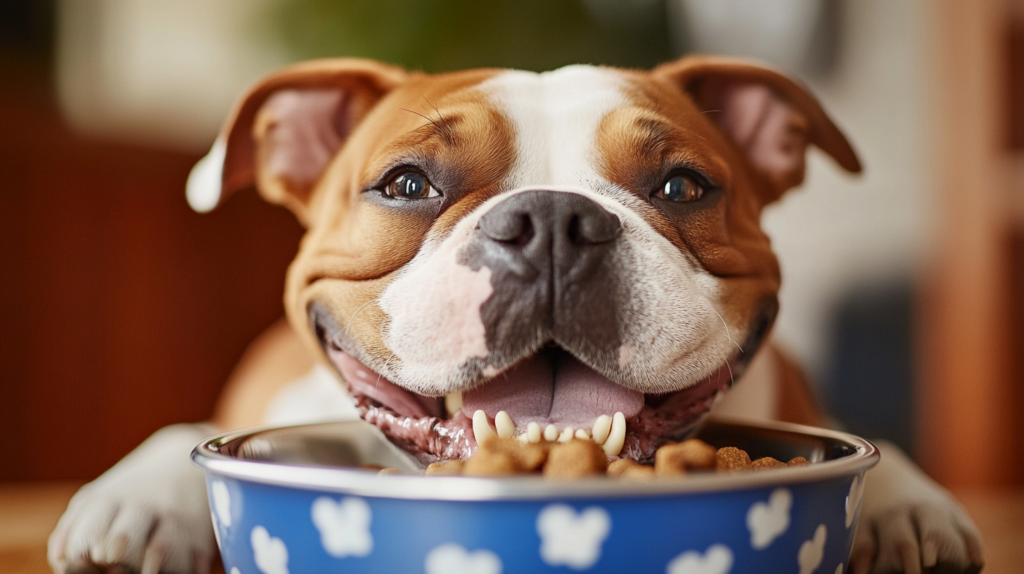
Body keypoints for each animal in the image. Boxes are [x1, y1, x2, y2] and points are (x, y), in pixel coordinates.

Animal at [48, 54, 983, 572]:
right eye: (406, 184)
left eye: (683, 186)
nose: (555, 223)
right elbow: (189, 430)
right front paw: (144, 492)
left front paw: (903, 500)